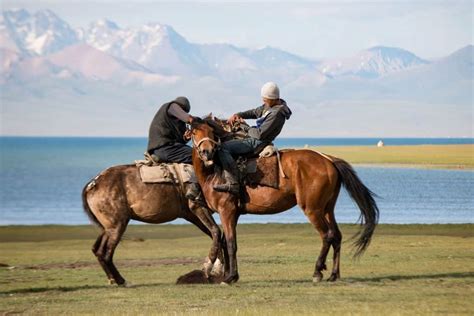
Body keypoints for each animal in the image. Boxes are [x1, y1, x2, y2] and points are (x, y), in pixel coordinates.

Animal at [81, 164, 222, 286]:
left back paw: (113, 279)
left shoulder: (193, 216)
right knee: (106, 253)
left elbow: (218, 236)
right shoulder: (198, 209)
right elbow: (217, 232)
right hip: (117, 226)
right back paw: (121, 281)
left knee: (97, 250)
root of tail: (92, 184)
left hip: (108, 228)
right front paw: (210, 270)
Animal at [191, 121, 380, 284]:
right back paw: (334, 274)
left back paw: (317, 272)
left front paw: (230, 277)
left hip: (312, 209)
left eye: (212, 133)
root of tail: (329, 160)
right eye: (194, 132)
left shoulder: (227, 211)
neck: (214, 172)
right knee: (337, 236)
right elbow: (226, 242)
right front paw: (230, 275)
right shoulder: (233, 214)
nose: (207, 151)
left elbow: (230, 243)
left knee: (327, 235)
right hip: (327, 208)